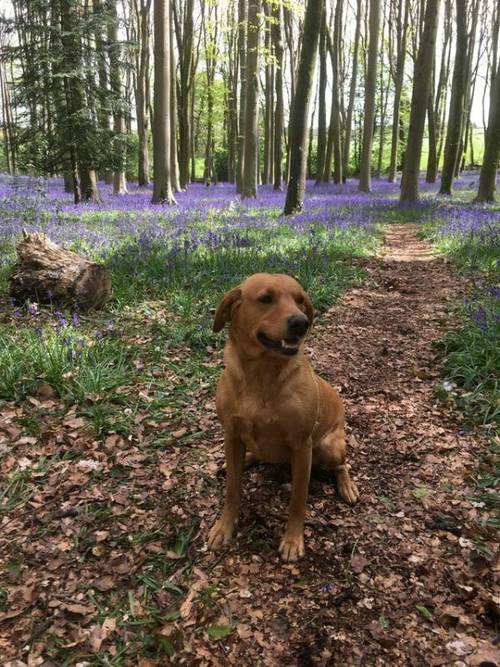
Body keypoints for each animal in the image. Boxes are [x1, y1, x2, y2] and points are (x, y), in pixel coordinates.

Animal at [207, 274, 360, 560]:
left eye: (300, 300)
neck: (261, 375)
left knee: (341, 465)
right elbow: (232, 490)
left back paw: (346, 485)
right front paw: (224, 527)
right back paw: (248, 458)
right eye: (266, 298)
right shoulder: (231, 435)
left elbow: (298, 500)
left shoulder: (302, 446)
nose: (301, 322)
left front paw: (292, 540)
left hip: (329, 446)